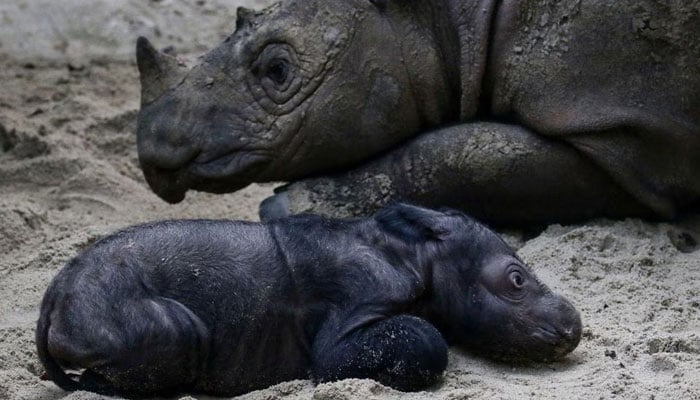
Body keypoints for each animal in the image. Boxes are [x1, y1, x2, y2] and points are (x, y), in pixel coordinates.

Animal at [35, 205, 576, 398]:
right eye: (516, 280)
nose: (573, 327)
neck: (420, 253)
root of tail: (54, 297)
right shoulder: (348, 318)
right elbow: (421, 340)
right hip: (117, 309)